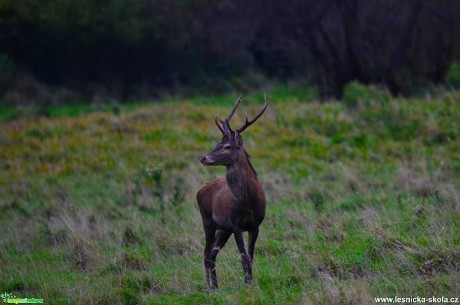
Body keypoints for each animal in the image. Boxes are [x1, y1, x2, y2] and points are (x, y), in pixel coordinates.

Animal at [196, 92, 268, 290]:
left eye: (227, 147)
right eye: (216, 144)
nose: (203, 158)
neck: (249, 202)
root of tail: (200, 189)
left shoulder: (255, 225)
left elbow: (250, 256)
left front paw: (250, 281)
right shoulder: (236, 224)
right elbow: (243, 256)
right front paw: (247, 283)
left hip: (223, 228)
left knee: (213, 253)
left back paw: (215, 285)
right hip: (207, 221)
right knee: (206, 254)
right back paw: (209, 287)